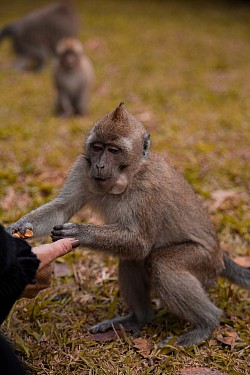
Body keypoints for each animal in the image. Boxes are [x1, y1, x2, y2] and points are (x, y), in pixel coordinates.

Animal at [7, 104, 250, 348]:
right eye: (97, 147)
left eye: (114, 151)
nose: (99, 165)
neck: (130, 175)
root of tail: (219, 254)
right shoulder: (82, 168)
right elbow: (62, 208)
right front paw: (18, 228)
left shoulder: (148, 191)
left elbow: (141, 243)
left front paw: (80, 232)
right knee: (131, 260)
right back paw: (139, 318)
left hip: (204, 262)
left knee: (160, 264)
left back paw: (206, 323)